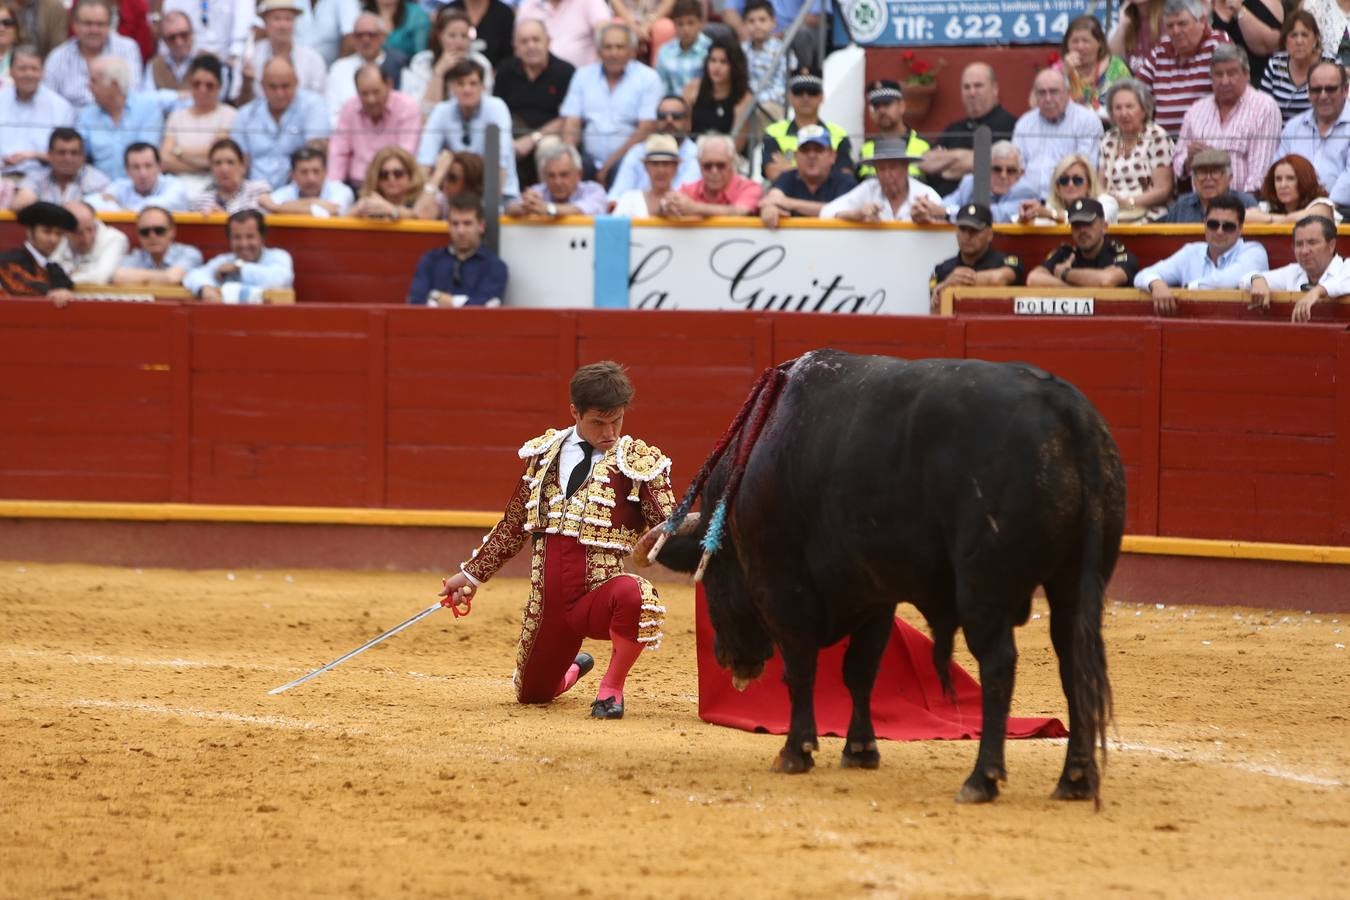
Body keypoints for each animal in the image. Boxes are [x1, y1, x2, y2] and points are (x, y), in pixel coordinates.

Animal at [642, 348, 1128, 804]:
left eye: (710, 579)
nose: (727, 659)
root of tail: (1065, 408)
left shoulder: (782, 587)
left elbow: (800, 668)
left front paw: (795, 751)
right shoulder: (874, 596)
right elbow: (862, 671)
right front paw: (860, 750)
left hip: (983, 586)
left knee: (998, 666)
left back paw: (981, 779)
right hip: (1074, 583)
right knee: (1074, 666)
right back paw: (1074, 779)